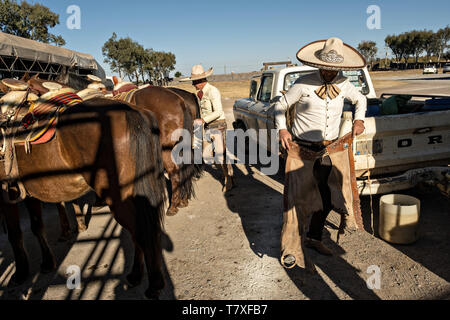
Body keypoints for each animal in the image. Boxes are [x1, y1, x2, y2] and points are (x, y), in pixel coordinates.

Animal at [0, 81, 167, 298]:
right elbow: (37, 227)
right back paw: (135, 276)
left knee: (141, 231)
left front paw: (20, 273)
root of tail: (132, 111)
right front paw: (47, 263)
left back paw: (152, 284)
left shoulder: (6, 194)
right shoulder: (29, 193)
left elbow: (15, 234)